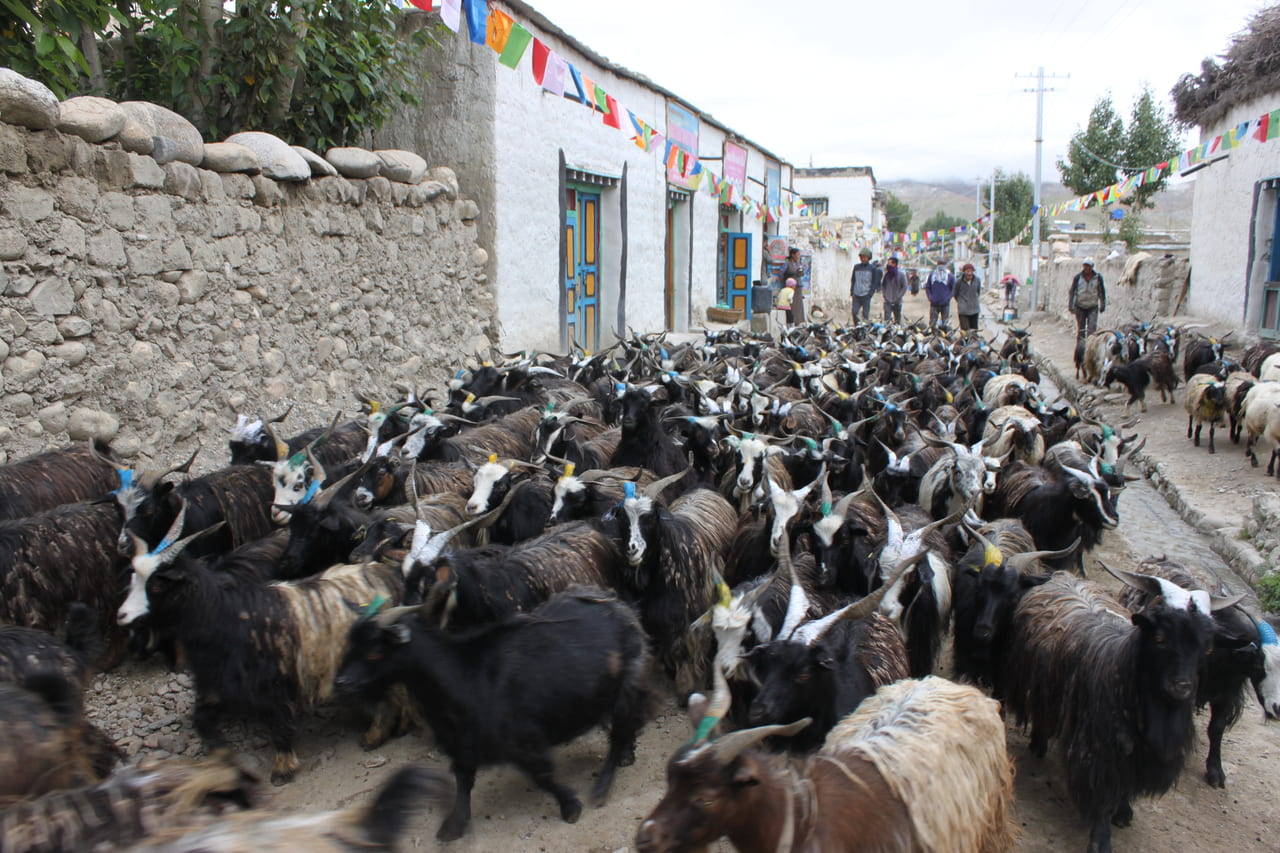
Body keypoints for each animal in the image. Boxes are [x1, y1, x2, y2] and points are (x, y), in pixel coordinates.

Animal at [1003, 563, 1223, 850]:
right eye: (1160, 638)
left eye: (1206, 649)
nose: (1182, 686)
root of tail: (1061, 575)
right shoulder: (1099, 750)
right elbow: (1102, 794)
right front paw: (1101, 839)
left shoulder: (1136, 756)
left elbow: (1126, 787)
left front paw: (1124, 812)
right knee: (1042, 715)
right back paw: (1038, 745)